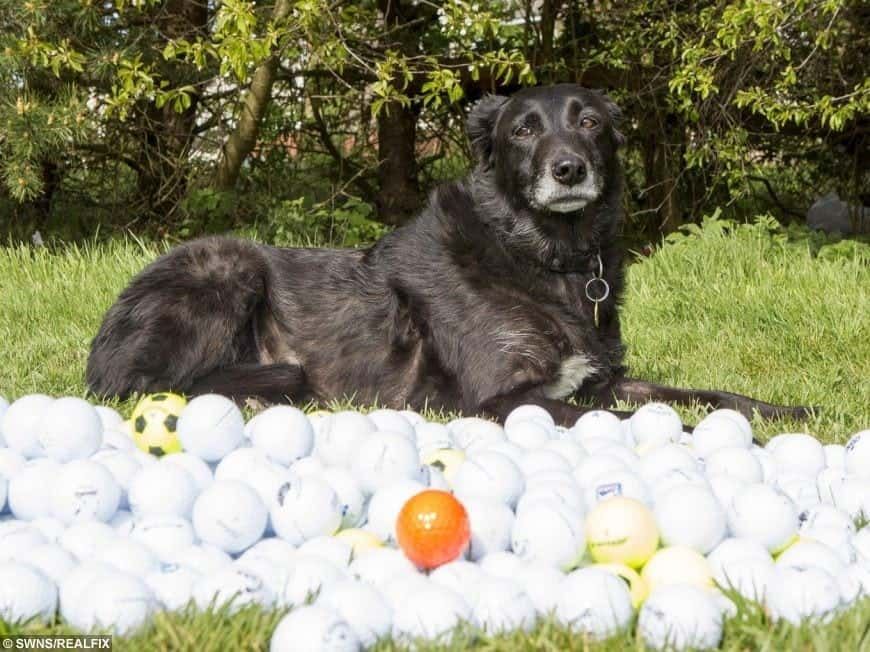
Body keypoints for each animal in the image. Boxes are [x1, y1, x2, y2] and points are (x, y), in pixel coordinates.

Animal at [85, 84, 816, 426]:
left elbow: (704, 394)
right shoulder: (501, 400)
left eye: (589, 122)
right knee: (152, 384)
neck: (545, 257)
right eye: (523, 130)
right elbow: (634, 419)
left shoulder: (601, 377)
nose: (569, 170)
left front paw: (786, 411)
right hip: (224, 267)